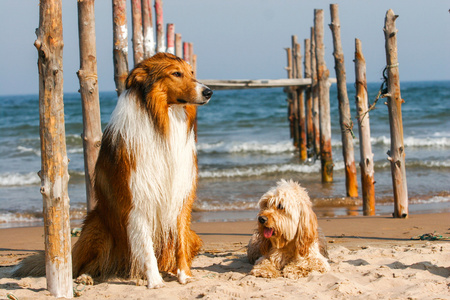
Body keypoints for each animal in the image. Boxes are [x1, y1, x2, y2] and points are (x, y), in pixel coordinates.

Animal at [12, 53, 213, 288]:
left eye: (191, 72)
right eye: (176, 73)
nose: (208, 92)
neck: (162, 122)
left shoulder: (180, 195)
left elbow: (179, 239)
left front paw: (184, 274)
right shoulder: (137, 198)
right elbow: (145, 246)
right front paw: (155, 281)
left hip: (193, 235)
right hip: (97, 228)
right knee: (89, 264)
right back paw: (86, 277)